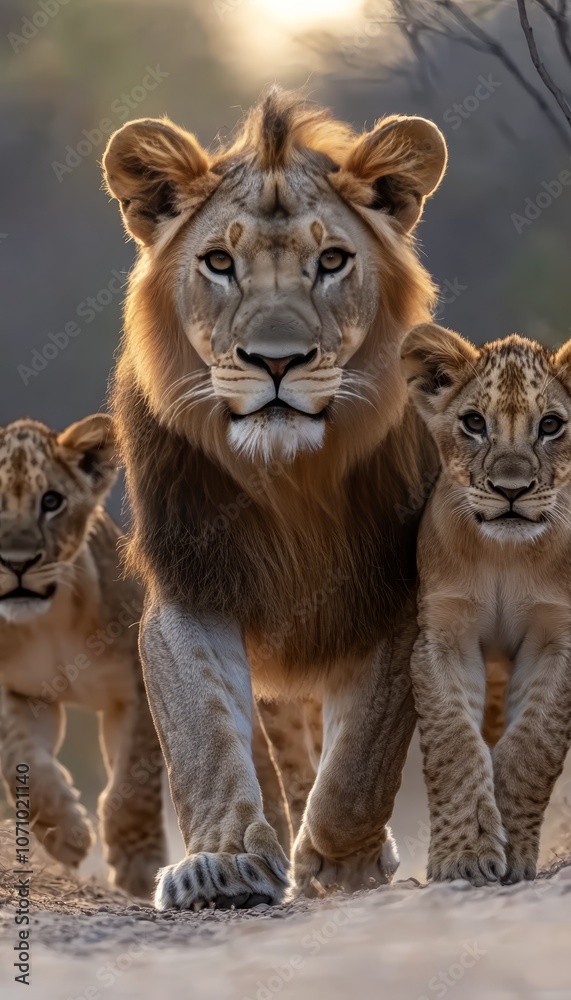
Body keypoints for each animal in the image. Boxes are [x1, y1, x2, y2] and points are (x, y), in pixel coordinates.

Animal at [0, 415, 166, 898]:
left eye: (51, 501)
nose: (16, 563)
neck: (49, 620)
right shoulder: (22, 692)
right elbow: (23, 763)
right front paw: (66, 835)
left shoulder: (138, 685)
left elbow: (133, 783)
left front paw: (138, 867)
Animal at [102, 87, 447, 908]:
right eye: (219, 262)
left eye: (332, 261)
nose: (277, 361)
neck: (288, 479)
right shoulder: (191, 580)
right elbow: (203, 732)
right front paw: (224, 863)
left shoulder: (395, 596)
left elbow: (362, 757)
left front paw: (342, 863)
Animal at [402, 324, 571, 885]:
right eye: (474, 422)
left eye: (551, 425)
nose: (510, 490)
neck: (504, 554)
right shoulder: (444, 636)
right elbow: (454, 742)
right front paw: (463, 856)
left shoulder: (556, 639)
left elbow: (532, 746)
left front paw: (513, 849)